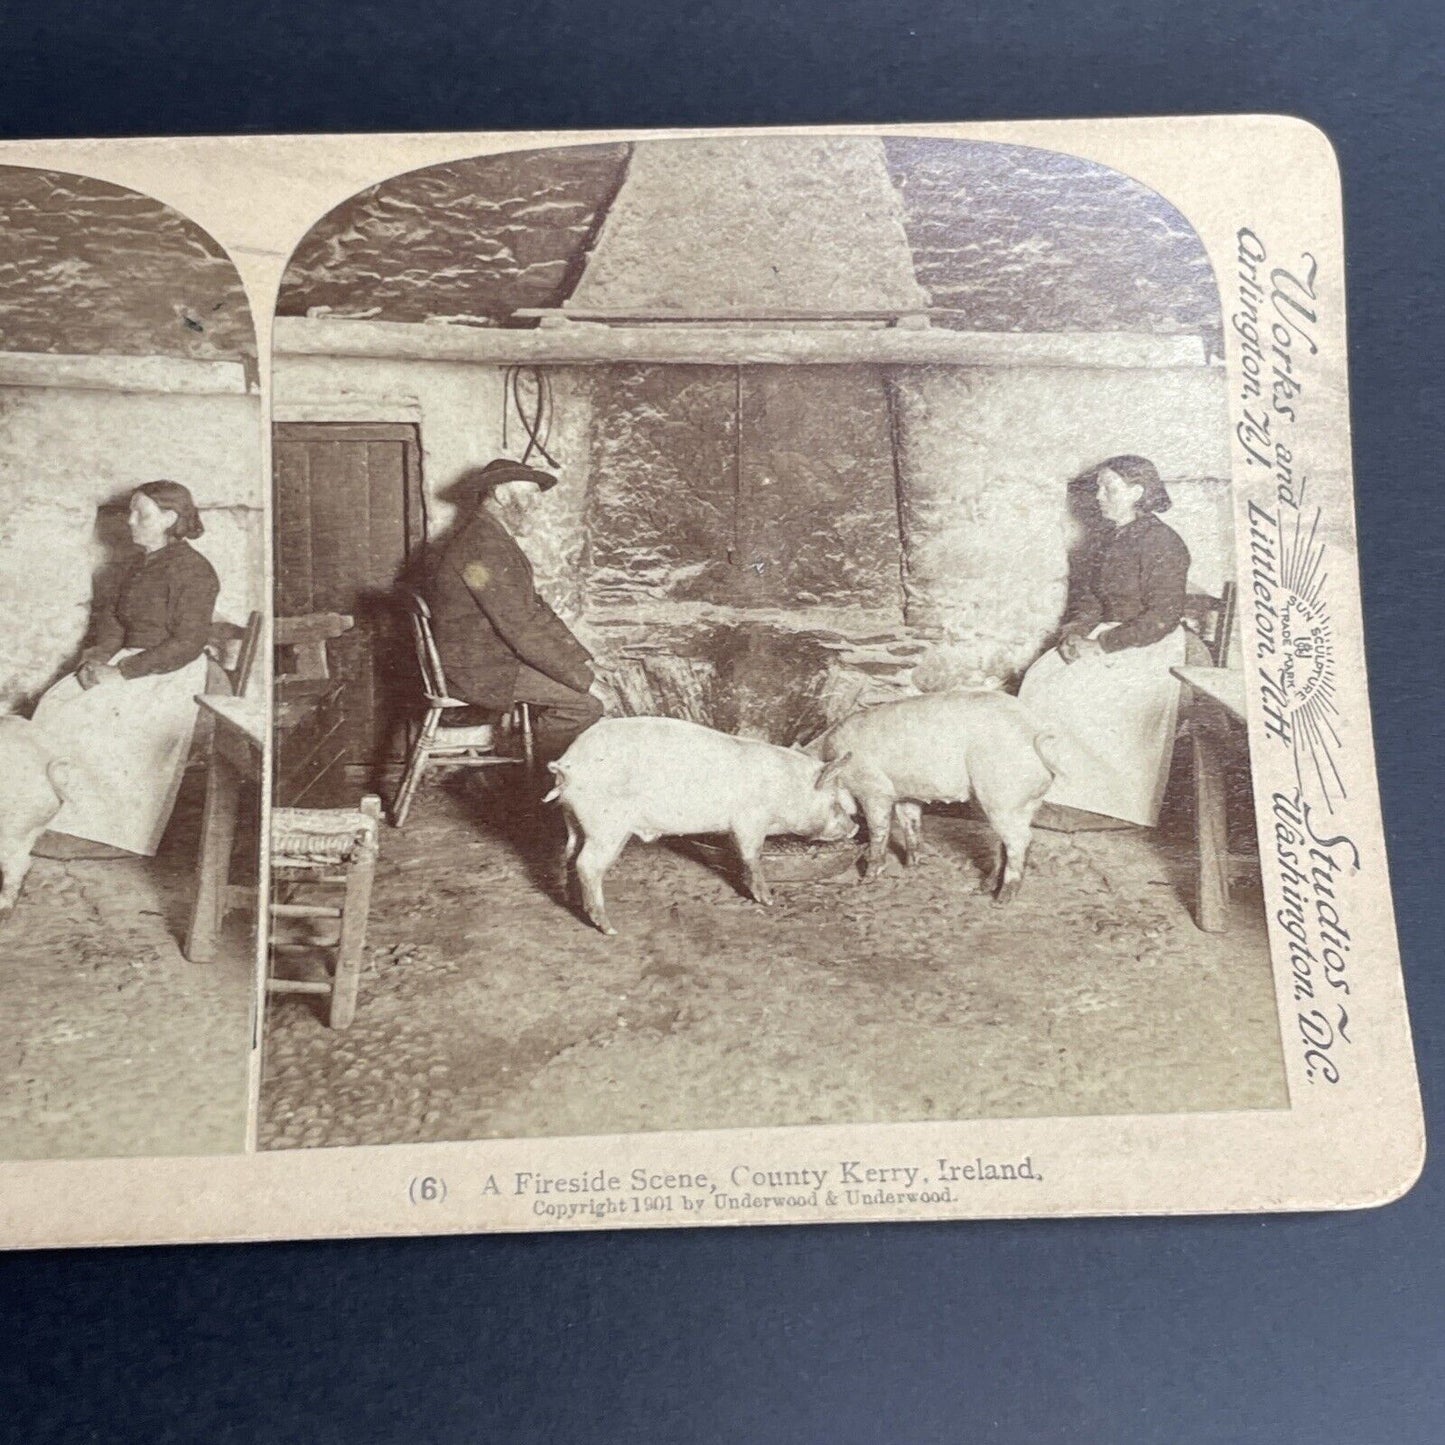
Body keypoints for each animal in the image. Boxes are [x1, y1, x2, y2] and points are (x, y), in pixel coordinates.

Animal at [543, 713, 855, 936]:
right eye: (835, 801)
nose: (854, 827)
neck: (784, 790)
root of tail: (567, 765)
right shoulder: (750, 818)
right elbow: (751, 855)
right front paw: (767, 900)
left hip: (575, 820)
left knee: (570, 854)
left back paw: (576, 904)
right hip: (607, 825)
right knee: (587, 864)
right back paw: (608, 928)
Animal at [803, 687, 1063, 901]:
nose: (852, 831)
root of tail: (1034, 732)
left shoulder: (874, 790)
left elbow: (878, 831)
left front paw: (866, 880)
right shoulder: (906, 795)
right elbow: (911, 826)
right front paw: (911, 867)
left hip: (1001, 795)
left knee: (1022, 840)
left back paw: (1001, 899)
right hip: (1015, 802)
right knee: (1008, 841)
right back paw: (983, 889)